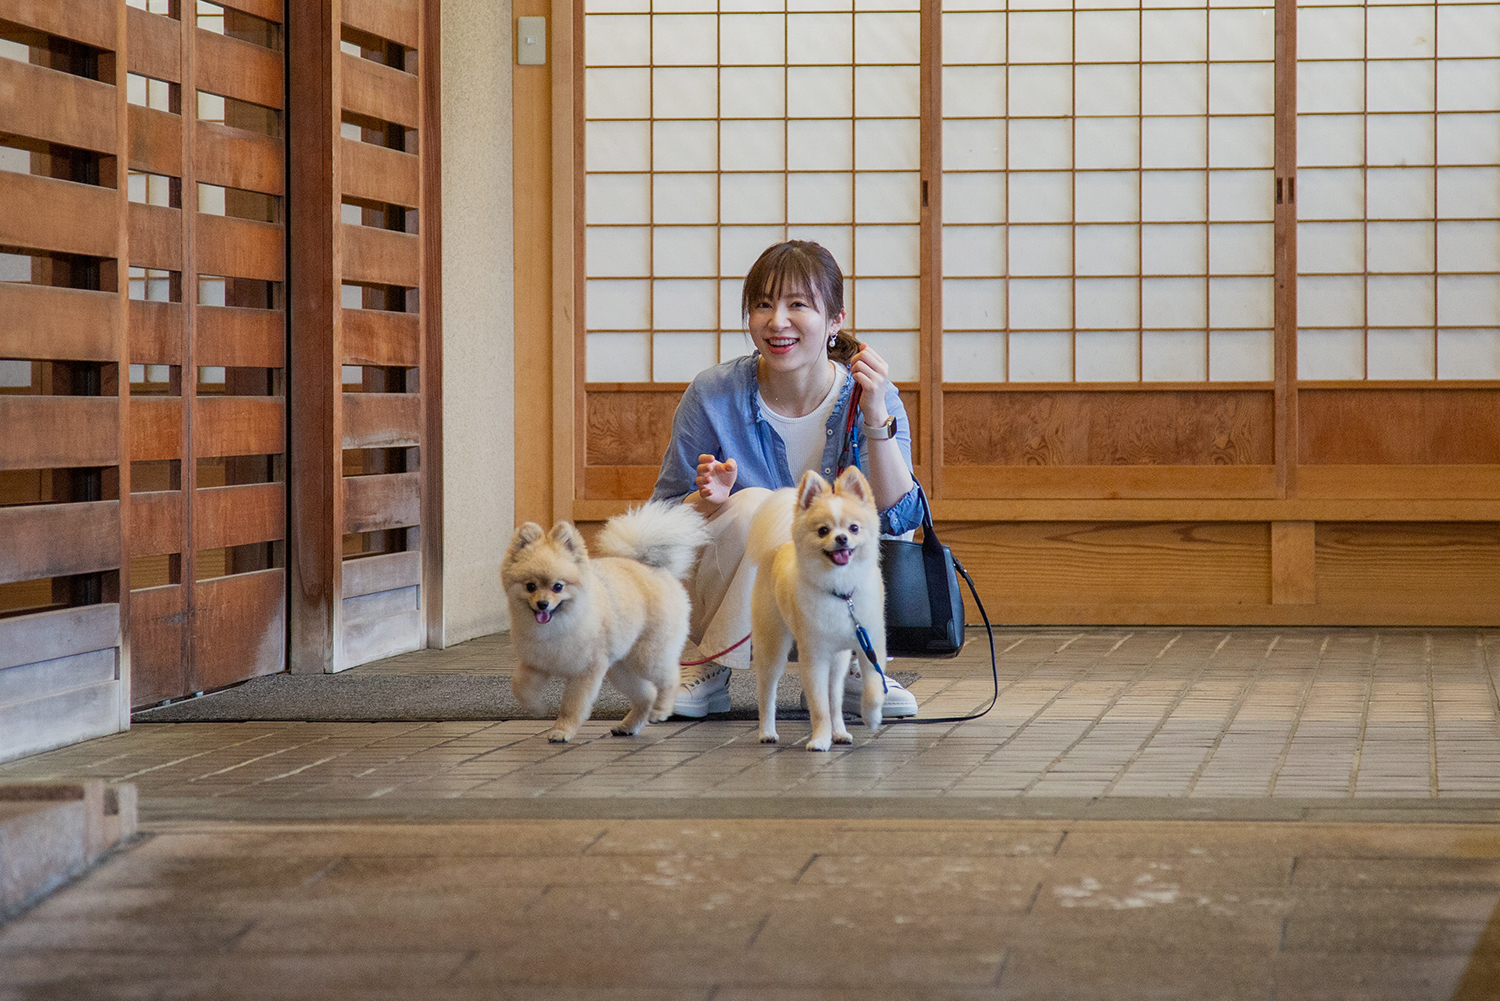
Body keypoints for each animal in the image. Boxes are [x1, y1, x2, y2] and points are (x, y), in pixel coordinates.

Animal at [504, 501, 708, 744]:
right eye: (530, 586)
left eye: (558, 587)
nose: (542, 604)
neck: (559, 624)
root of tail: (652, 567)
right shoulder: (536, 663)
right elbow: (519, 687)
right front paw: (535, 707)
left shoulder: (585, 671)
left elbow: (572, 705)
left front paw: (562, 730)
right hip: (621, 668)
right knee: (646, 694)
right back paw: (628, 725)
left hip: (647, 656)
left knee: (670, 677)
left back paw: (660, 711)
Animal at [747, 471, 882, 750]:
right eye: (823, 531)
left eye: (854, 528)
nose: (841, 538)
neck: (842, 594)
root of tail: (781, 545)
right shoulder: (815, 657)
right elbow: (819, 707)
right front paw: (820, 739)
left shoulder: (869, 644)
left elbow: (873, 687)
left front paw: (872, 717)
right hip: (773, 647)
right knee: (767, 691)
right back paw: (767, 731)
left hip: (839, 661)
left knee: (835, 699)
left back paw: (840, 732)